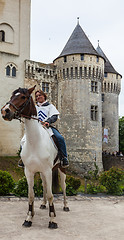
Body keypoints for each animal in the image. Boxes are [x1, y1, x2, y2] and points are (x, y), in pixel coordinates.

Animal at [0, 86, 69, 229]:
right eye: (12, 96)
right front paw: (29, 218)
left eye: (23, 97)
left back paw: (65, 206)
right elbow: (31, 195)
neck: (35, 142)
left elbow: (51, 195)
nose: (5, 111)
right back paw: (43, 204)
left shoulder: (48, 171)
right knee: (44, 185)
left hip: (61, 169)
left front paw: (52, 220)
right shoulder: (29, 172)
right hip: (42, 173)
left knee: (64, 186)